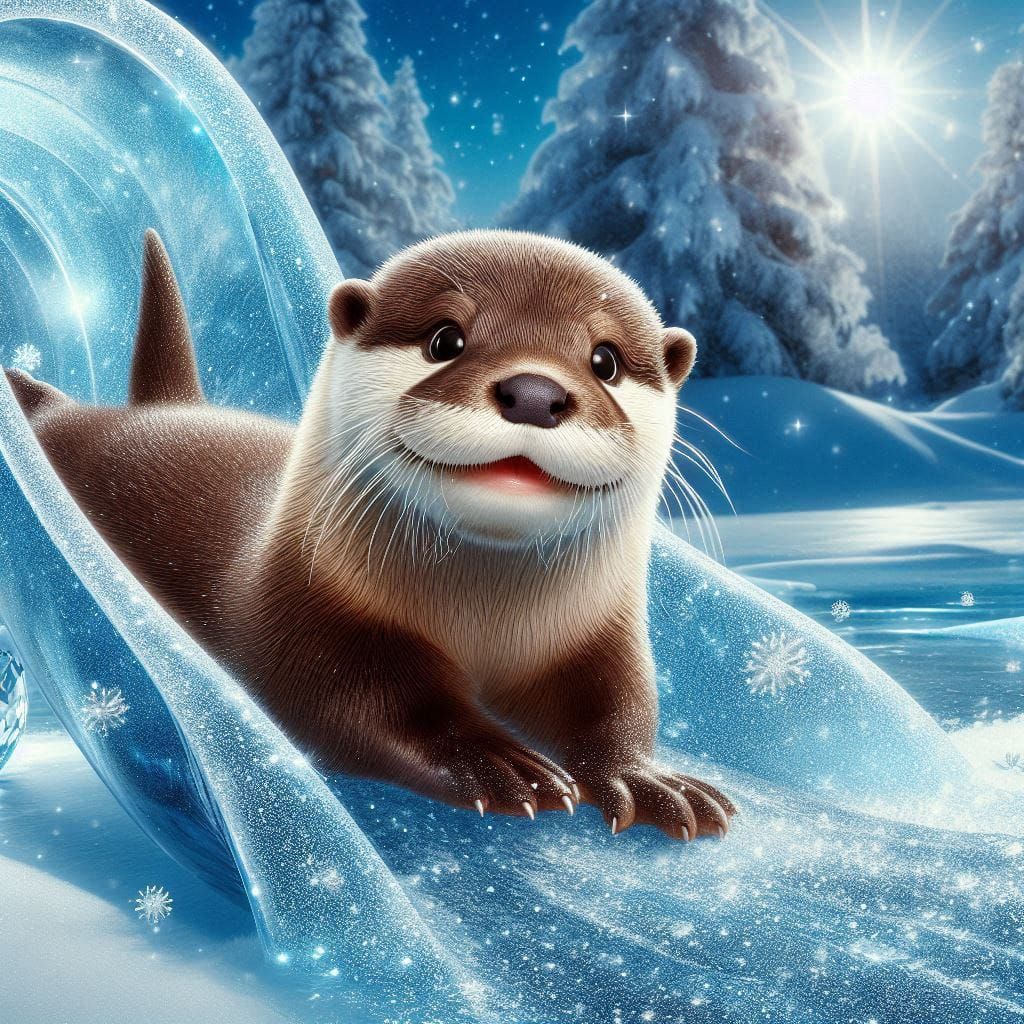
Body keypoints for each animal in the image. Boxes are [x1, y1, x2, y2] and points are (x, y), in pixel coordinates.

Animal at [7, 229, 735, 839]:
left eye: (605, 359)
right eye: (446, 339)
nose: (534, 392)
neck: (485, 625)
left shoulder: (597, 637)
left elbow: (618, 702)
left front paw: (649, 779)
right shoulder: (311, 625)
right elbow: (368, 707)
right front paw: (497, 760)